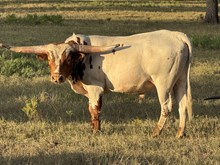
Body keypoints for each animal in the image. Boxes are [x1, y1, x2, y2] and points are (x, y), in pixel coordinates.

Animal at [0, 30, 192, 138]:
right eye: (49, 58)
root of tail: (176, 35)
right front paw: (93, 129)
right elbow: (90, 109)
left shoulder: (95, 89)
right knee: (182, 105)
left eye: (68, 58)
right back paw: (179, 134)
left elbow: (94, 110)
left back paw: (156, 132)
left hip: (163, 83)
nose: (56, 78)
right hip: (180, 80)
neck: (82, 57)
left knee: (166, 106)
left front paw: (96, 131)